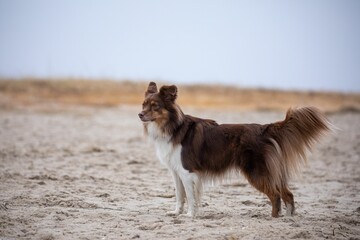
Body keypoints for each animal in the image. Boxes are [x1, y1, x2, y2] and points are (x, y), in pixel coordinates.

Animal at [138, 82, 330, 218]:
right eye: (143, 104)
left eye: (155, 105)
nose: (139, 115)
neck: (172, 127)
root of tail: (264, 128)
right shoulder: (176, 172)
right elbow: (179, 195)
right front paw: (176, 213)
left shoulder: (187, 171)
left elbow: (191, 196)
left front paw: (190, 215)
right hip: (271, 171)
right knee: (288, 194)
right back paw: (288, 217)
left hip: (257, 171)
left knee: (275, 195)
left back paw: (274, 217)